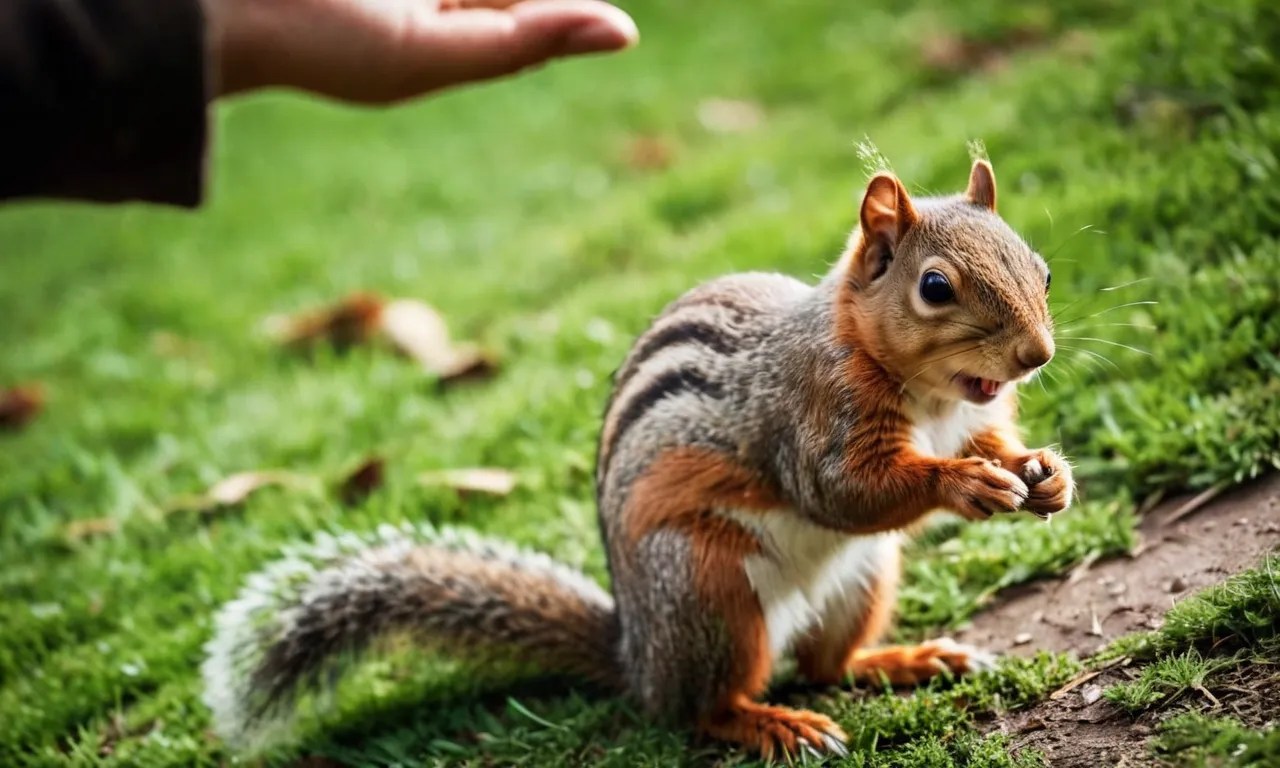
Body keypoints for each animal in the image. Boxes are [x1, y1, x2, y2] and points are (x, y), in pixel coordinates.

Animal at [202, 159, 1073, 760]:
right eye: (935, 287)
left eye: (1042, 267)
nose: (1036, 355)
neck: (930, 397)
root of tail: (639, 657)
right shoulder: (809, 415)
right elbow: (843, 492)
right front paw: (961, 484)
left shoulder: (971, 417)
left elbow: (992, 444)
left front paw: (1047, 474)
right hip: (707, 591)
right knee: (703, 708)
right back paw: (772, 723)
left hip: (860, 581)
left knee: (830, 663)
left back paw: (905, 659)